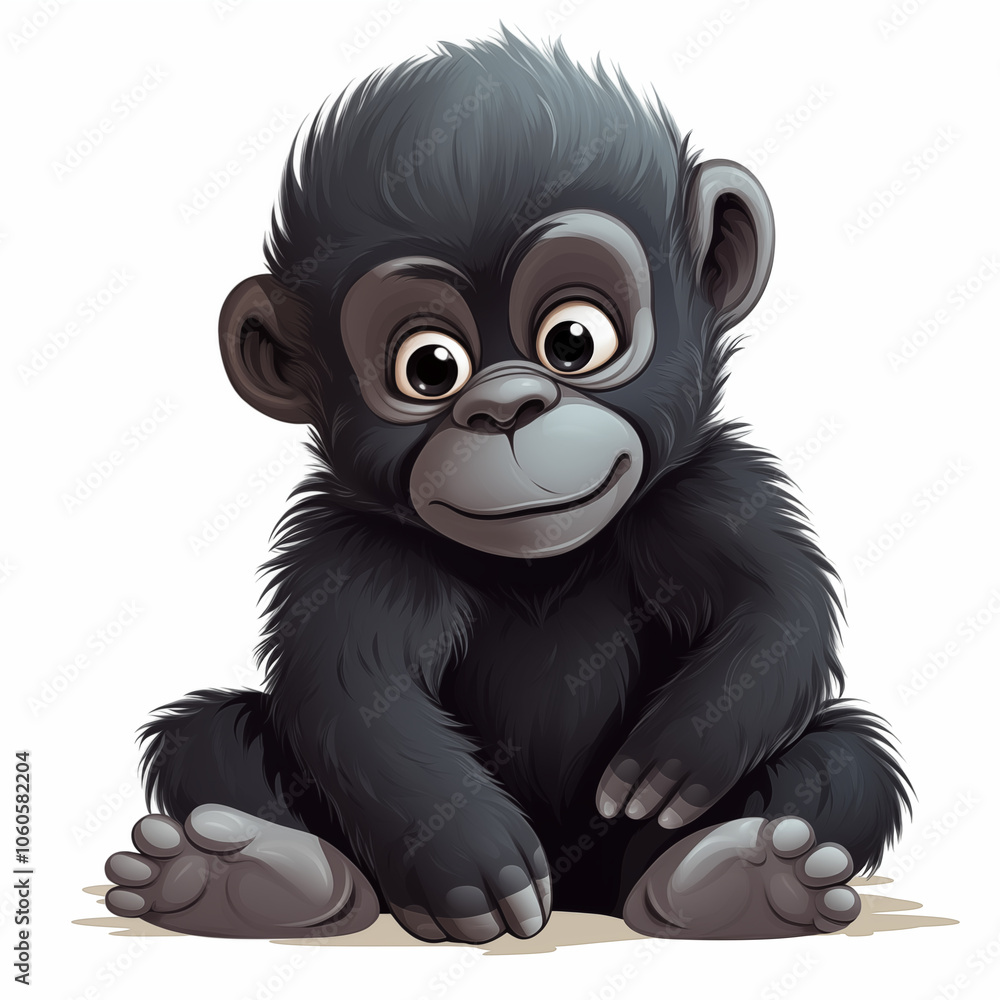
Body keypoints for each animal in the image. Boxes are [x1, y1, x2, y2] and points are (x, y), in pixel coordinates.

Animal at [103, 30, 910, 942]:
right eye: (429, 367)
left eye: (574, 339)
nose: (505, 405)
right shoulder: (345, 551)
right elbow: (357, 694)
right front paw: (468, 859)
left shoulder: (714, 493)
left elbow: (775, 611)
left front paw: (676, 755)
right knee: (206, 736)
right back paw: (253, 875)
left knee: (844, 754)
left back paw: (732, 874)